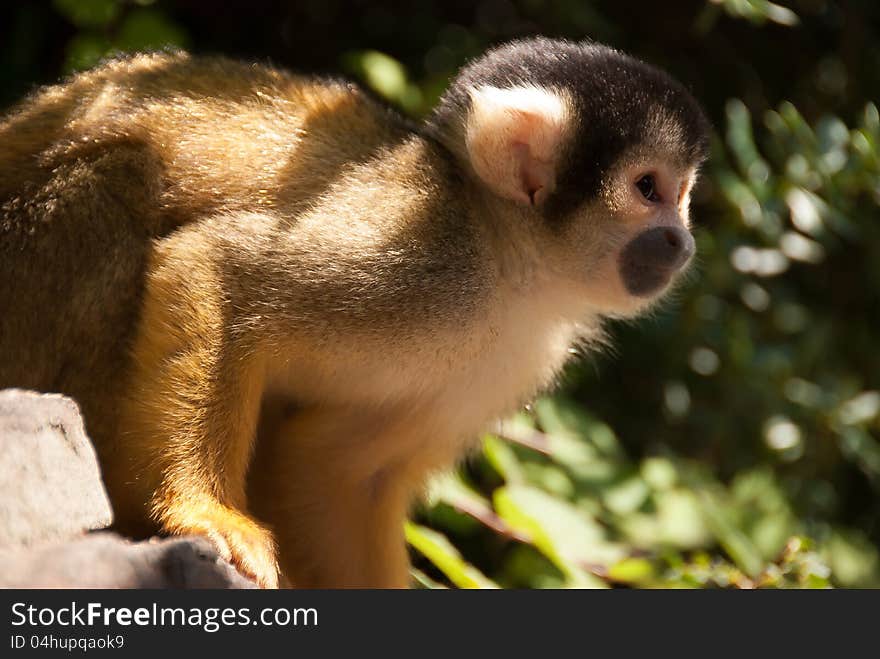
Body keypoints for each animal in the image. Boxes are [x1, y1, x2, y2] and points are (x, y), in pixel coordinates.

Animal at [0, 38, 708, 592]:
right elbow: (216, 265)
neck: (509, 268)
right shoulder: (420, 259)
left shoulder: (510, 360)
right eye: (648, 189)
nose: (682, 241)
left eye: (683, 197)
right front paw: (201, 513)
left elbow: (337, 471)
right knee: (113, 180)